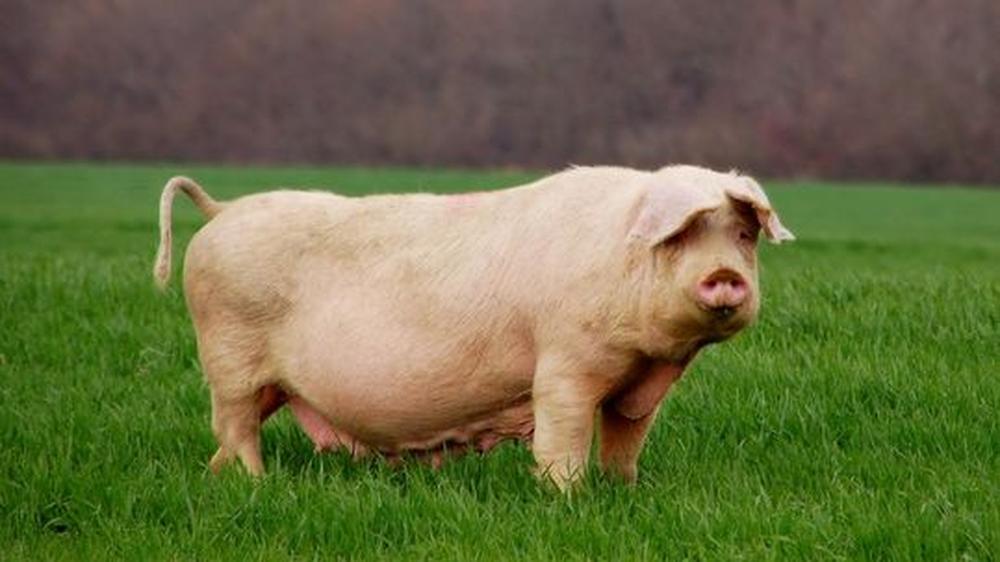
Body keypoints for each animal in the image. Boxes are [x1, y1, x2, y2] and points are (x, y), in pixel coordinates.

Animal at [152, 165, 793, 490]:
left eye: (743, 234)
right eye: (680, 236)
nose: (724, 275)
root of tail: (221, 211)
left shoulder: (638, 386)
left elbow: (626, 438)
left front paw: (624, 491)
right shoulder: (564, 363)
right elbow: (563, 435)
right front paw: (566, 499)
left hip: (267, 380)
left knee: (228, 434)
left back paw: (217, 480)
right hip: (229, 353)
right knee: (235, 426)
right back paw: (259, 486)